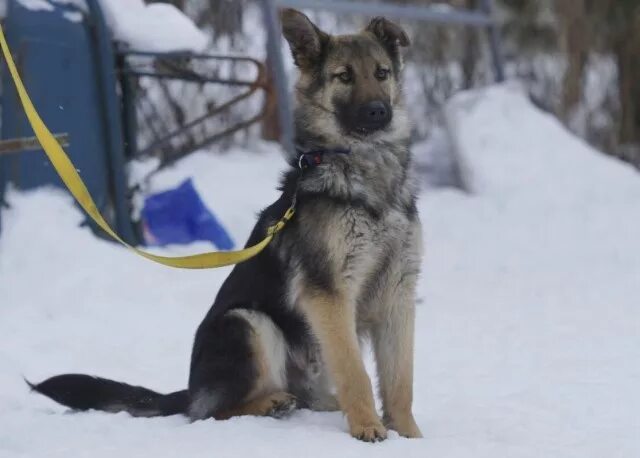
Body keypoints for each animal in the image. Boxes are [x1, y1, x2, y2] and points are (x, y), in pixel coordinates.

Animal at [30, 8, 422, 442]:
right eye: (344, 76)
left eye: (381, 73)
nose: (378, 112)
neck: (369, 175)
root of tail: (191, 390)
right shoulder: (330, 295)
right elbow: (356, 373)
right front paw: (368, 426)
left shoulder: (398, 296)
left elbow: (400, 381)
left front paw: (409, 435)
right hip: (248, 322)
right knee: (210, 412)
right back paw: (268, 403)